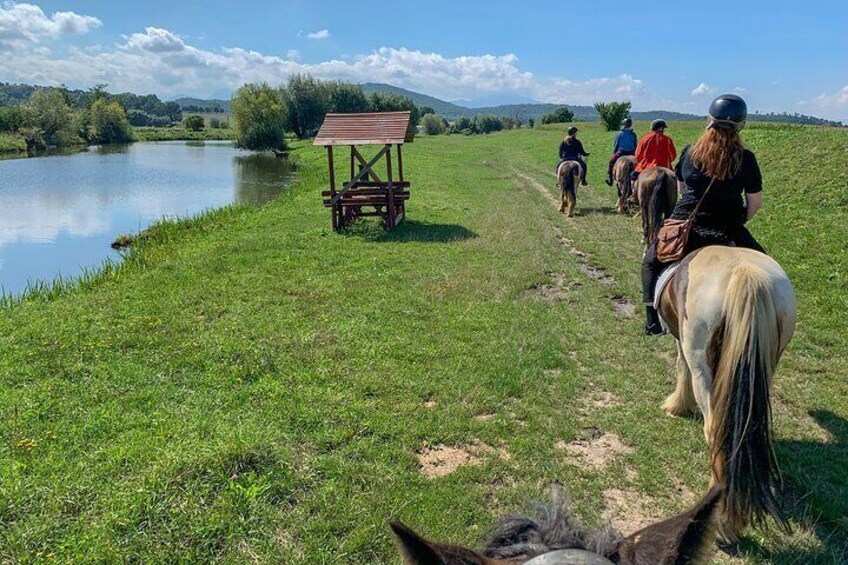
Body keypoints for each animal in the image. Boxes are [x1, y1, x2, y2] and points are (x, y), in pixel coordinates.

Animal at [656, 247, 796, 540]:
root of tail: (746, 274)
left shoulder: (682, 341)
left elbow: (680, 365)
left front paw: (677, 406)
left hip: (701, 358)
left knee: (715, 429)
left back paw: (723, 523)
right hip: (765, 362)